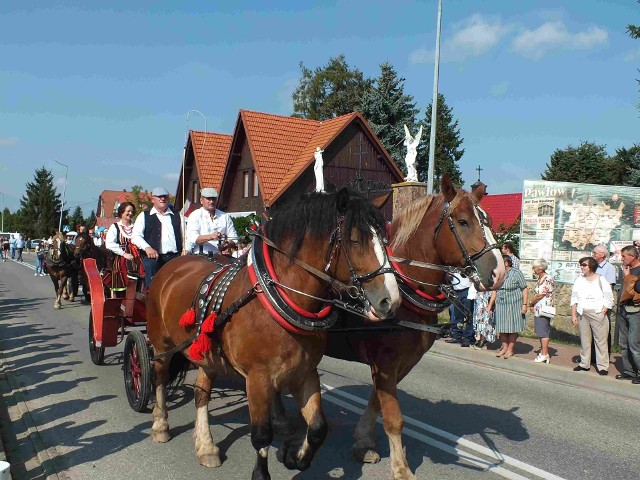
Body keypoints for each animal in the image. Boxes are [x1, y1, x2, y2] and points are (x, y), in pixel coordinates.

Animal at [148, 188, 402, 480]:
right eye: (355, 240)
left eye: (384, 239)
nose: (391, 300)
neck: (276, 296)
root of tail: (174, 265)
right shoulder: (258, 379)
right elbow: (261, 435)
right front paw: (263, 472)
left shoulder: (305, 373)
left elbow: (318, 428)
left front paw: (293, 456)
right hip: (160, 345)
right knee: (160, 378)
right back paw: (160, 424)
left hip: (207, 355)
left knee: (202, 393)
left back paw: (206, 446)